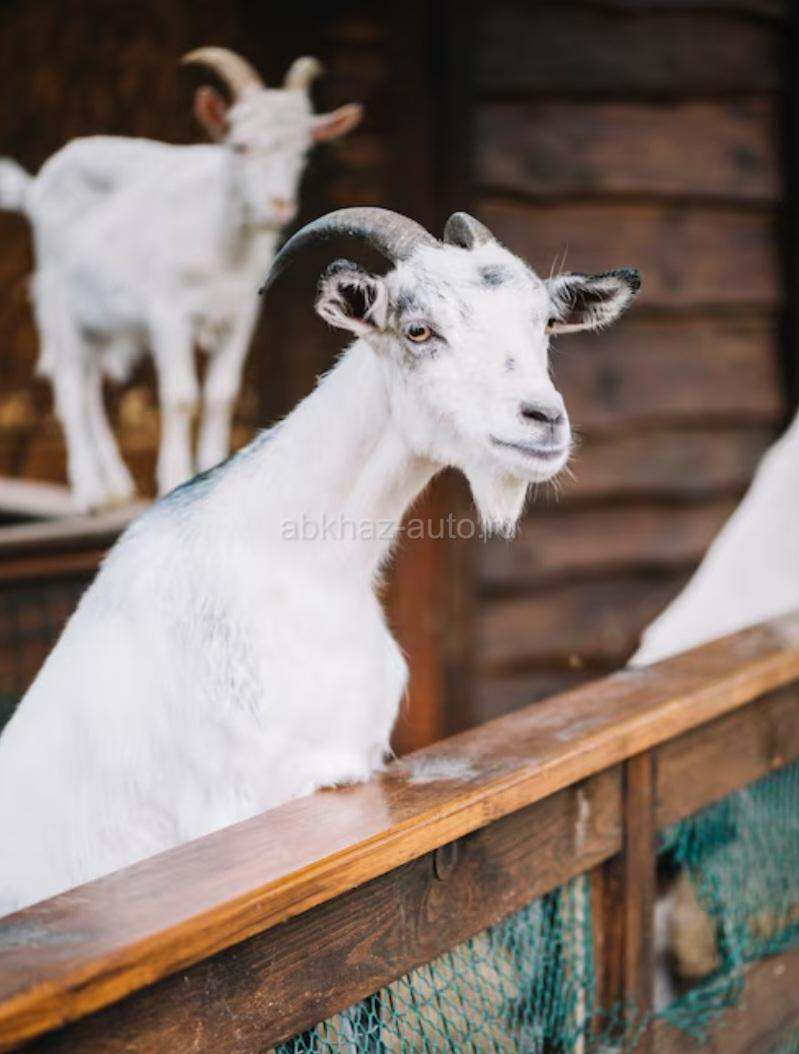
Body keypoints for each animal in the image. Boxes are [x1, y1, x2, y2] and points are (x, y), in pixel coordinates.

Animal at [0, 48, 362, 512]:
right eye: (240, 145)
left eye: (302, 154)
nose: (278, 205)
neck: (223, 241)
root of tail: (35, 188)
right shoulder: (168, 311)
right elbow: (182, 397)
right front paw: (173, 477)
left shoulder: (240, 315)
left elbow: (221, 395)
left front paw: (212, 471)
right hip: (57, 302)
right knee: (70, 390)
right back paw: (90, 491)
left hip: (97, 324)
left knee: (90, 388)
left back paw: (115, 484)